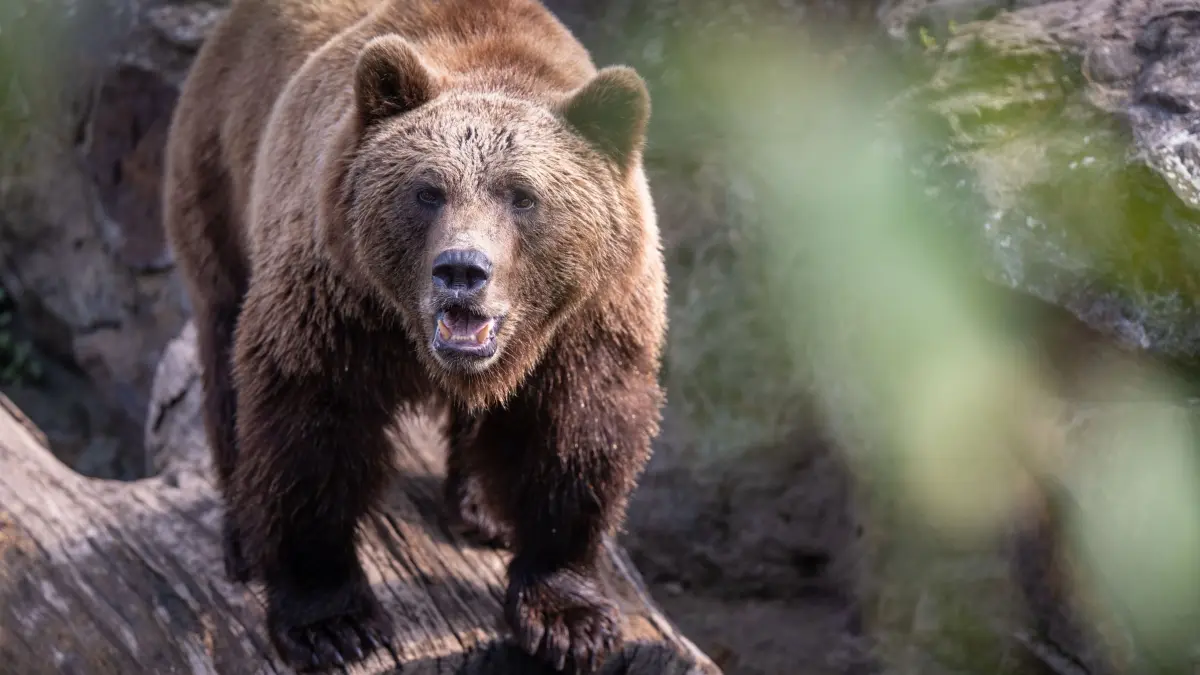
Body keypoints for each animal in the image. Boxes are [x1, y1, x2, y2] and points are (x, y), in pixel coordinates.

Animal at [162, 0, 665, 672]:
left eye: (522, 196)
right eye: (428, 190)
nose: (462, 270)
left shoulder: (590, 319)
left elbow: (577, 435)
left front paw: (568, 617)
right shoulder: (337, 300)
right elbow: (308, 428)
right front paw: (331, 621)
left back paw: (484, 509)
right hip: (219, 173)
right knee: (224, 352)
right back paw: (243, 534)